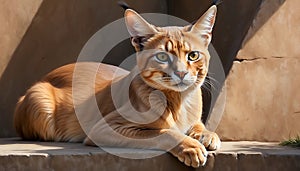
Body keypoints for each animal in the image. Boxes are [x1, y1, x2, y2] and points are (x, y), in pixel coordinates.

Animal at [13, 5, 220, 167]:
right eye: (162, 56)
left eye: (193, 55)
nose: (181, 73)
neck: (180, 102)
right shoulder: (103, 129)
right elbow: (162, 132)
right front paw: (190, 146)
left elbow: (199, 125)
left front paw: (207, 135)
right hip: (41, 102)